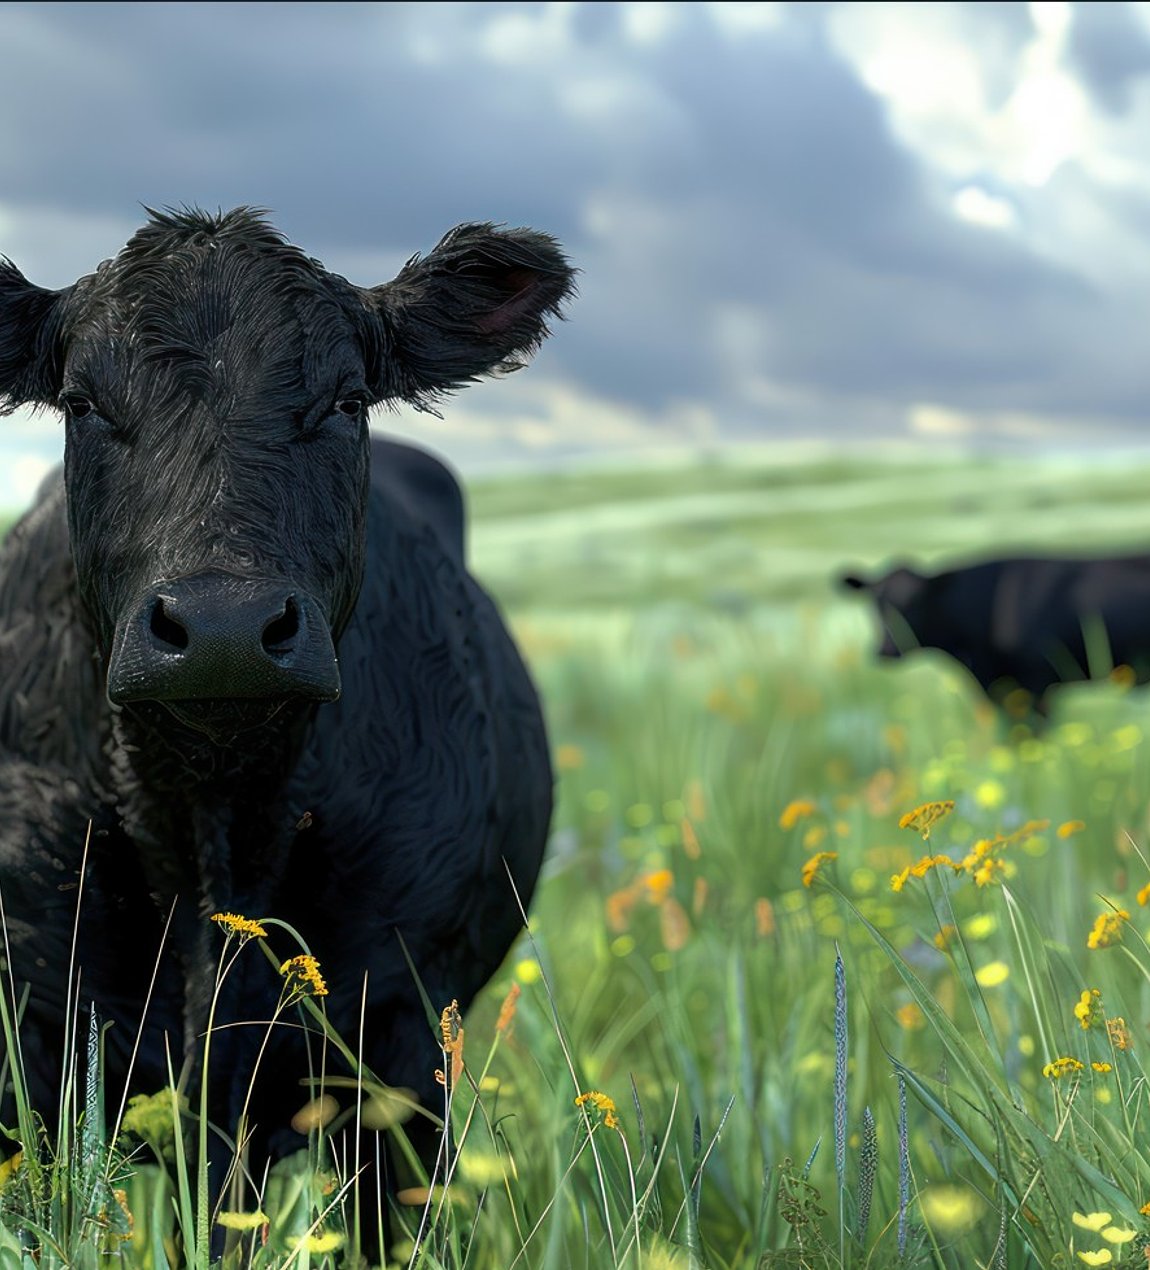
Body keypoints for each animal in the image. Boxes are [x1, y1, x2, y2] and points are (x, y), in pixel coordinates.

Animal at [0, 207, 574, 1247]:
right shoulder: (34, 1025)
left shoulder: (402, 1032)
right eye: (80, 402)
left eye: (346, 401)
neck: (217, 825)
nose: (223, 625)